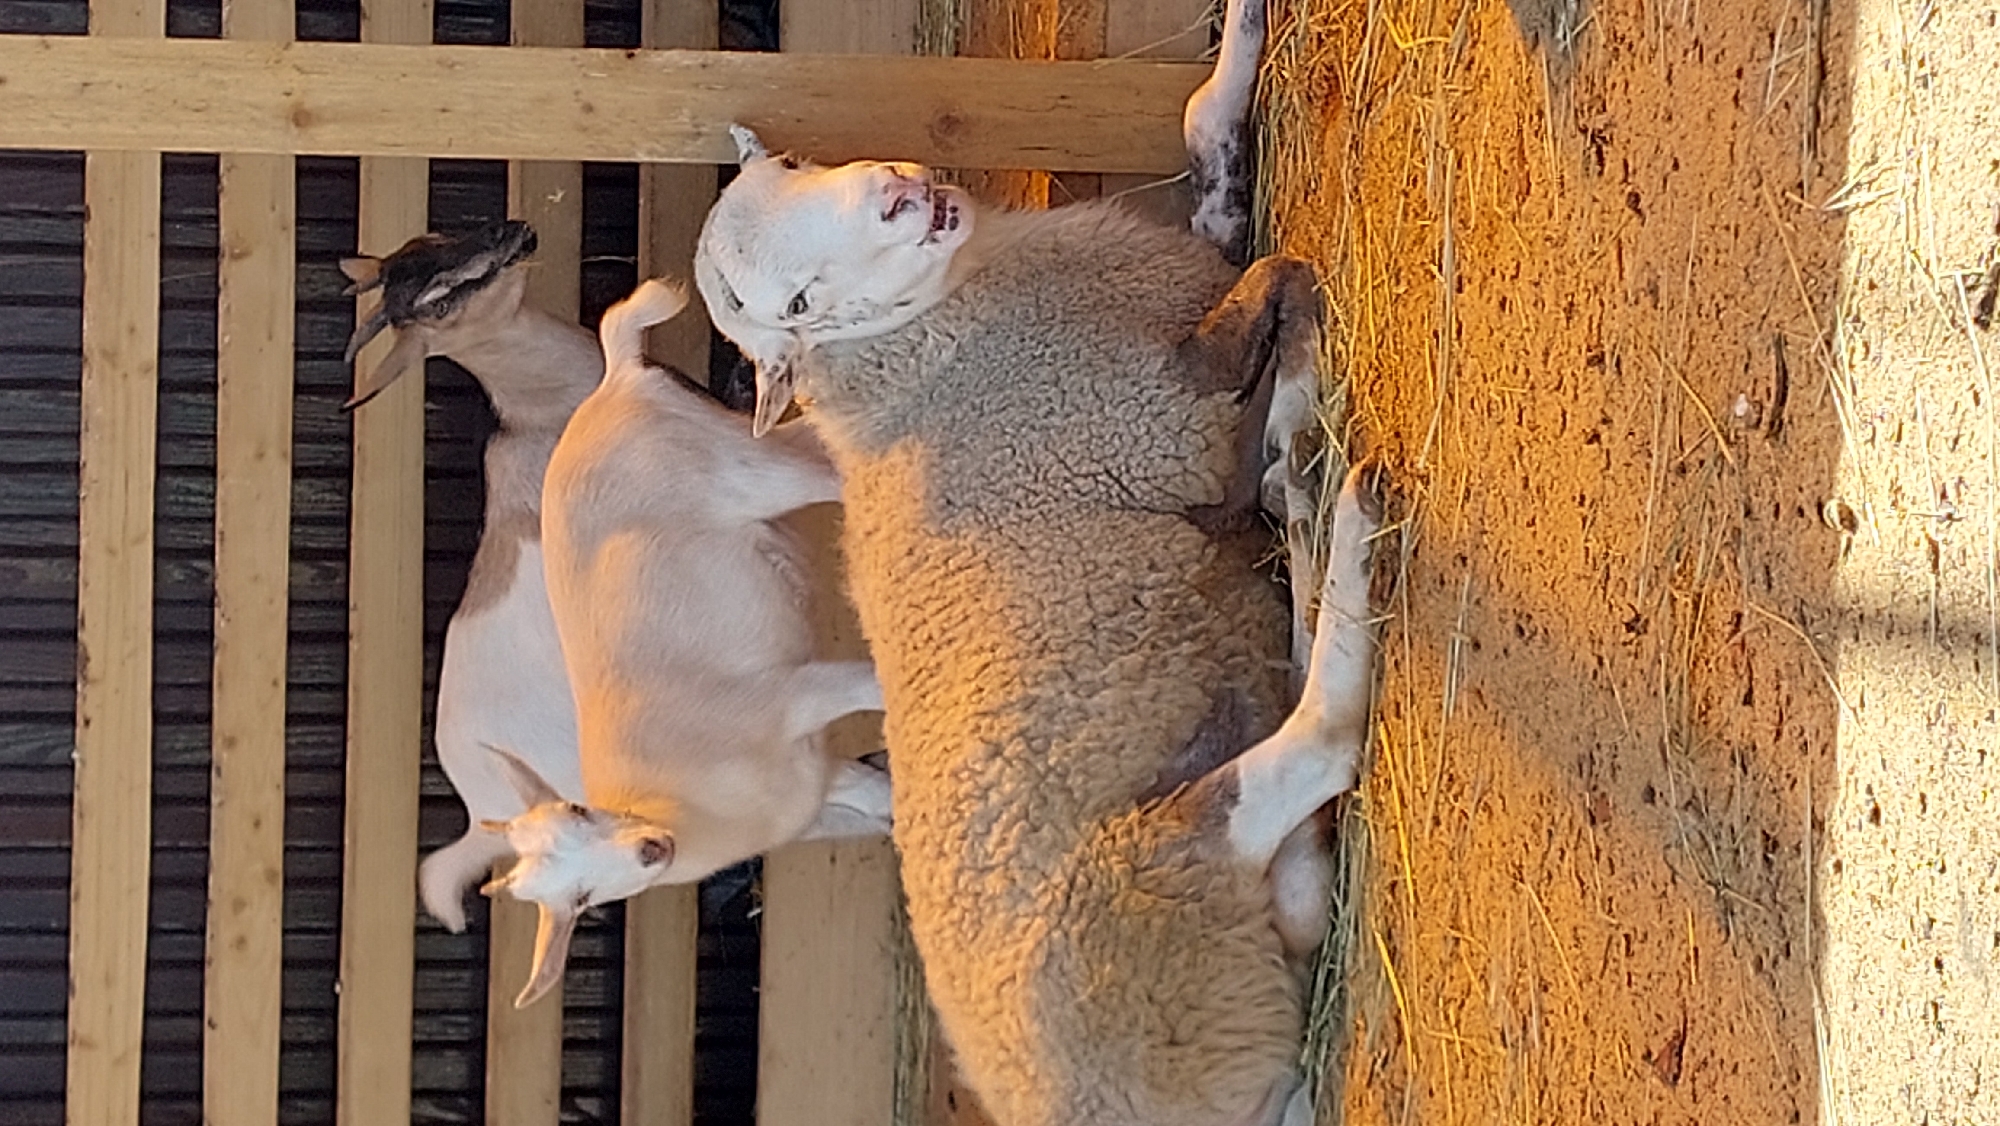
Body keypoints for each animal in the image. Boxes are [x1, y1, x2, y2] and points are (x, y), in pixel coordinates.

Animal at [478, 277, 893, 1009]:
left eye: (581, 811)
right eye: (579, 901)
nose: (650, 852)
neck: (681, 807)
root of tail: (614, 380)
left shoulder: (787, 693)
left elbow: (866, 684)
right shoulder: (816, 775)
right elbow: (876, 795)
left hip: (750, 468)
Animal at [685, 1, 1383, 1122]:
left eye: (793, 163)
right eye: (791, 302)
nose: (899, 197)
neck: (928, 350)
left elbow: (1209, 156)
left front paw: (1239, 41)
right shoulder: (1167, 409)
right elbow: (1273, 280)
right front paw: (1289, 404)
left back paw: (1313, 514)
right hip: (1142, 890)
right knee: (1318, 747)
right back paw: (1347, 515)